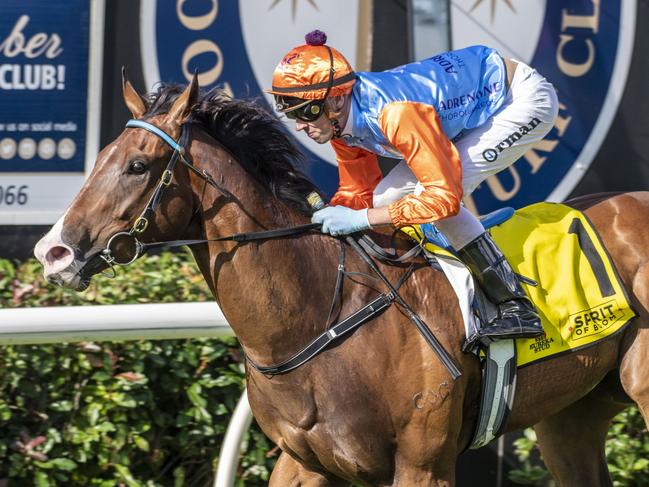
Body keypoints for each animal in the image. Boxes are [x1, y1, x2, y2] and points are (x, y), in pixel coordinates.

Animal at [34, 74, 648, 486]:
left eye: (138, 166)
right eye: (99, 157)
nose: (52, 252)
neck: (317, 321)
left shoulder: (423, 463)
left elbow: (440, 188)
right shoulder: (302, 460)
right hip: (572, 417)